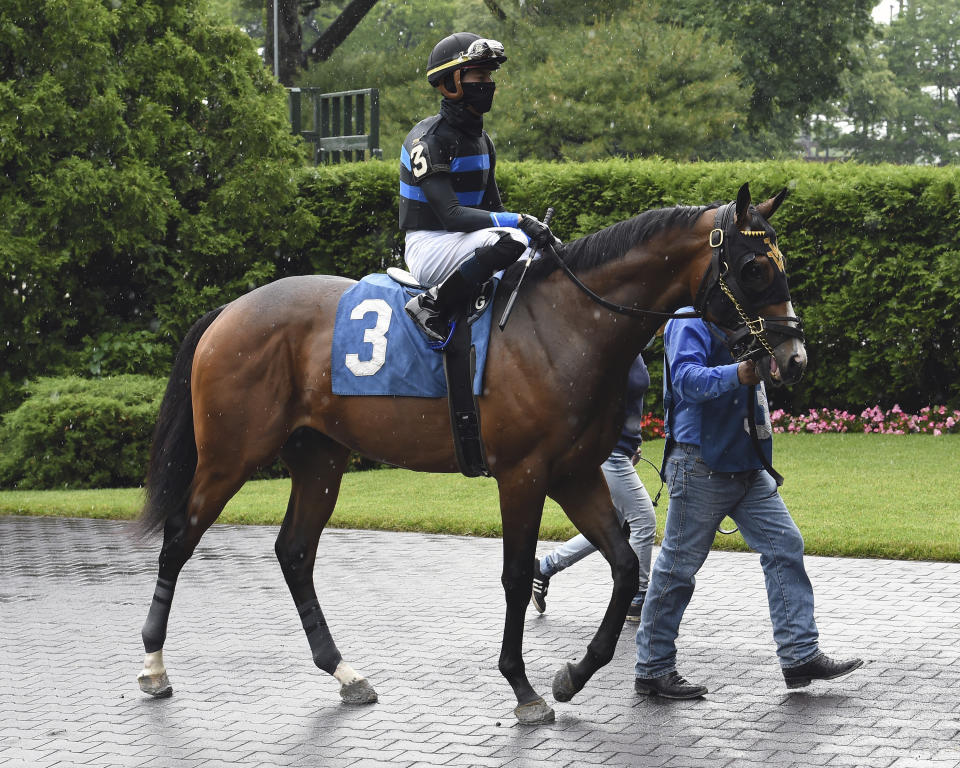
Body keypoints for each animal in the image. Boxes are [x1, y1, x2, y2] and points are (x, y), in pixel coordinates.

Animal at [135, 183, 808, 724]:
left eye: (780, 262)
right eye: (754, 267)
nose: (793, 356)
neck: (567, 321)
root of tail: (232, 308)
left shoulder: (574, 473)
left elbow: (622, 566)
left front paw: (574, 674)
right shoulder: (524, 475)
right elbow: (515, 574)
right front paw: (523, 687)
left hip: (320, 458)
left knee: (295, 552)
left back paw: (345, 672)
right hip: (230, 455)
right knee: (180, 537)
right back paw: (154, 665)